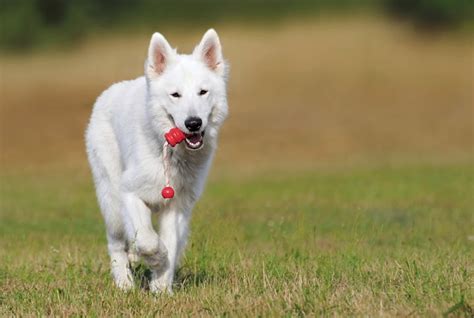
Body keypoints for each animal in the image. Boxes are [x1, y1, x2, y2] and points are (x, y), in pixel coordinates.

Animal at [86, 29, 229, 294]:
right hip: (111, 200)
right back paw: (124, 283)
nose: (193, 123)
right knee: (116, 243)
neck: (172, 154)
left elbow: (170, 243)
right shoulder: (129, 193)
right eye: (175, 95)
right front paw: (156, 260)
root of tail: (108, 92)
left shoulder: (176, 206)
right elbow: (148, 240)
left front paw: (161, 287)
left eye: (203, 92)